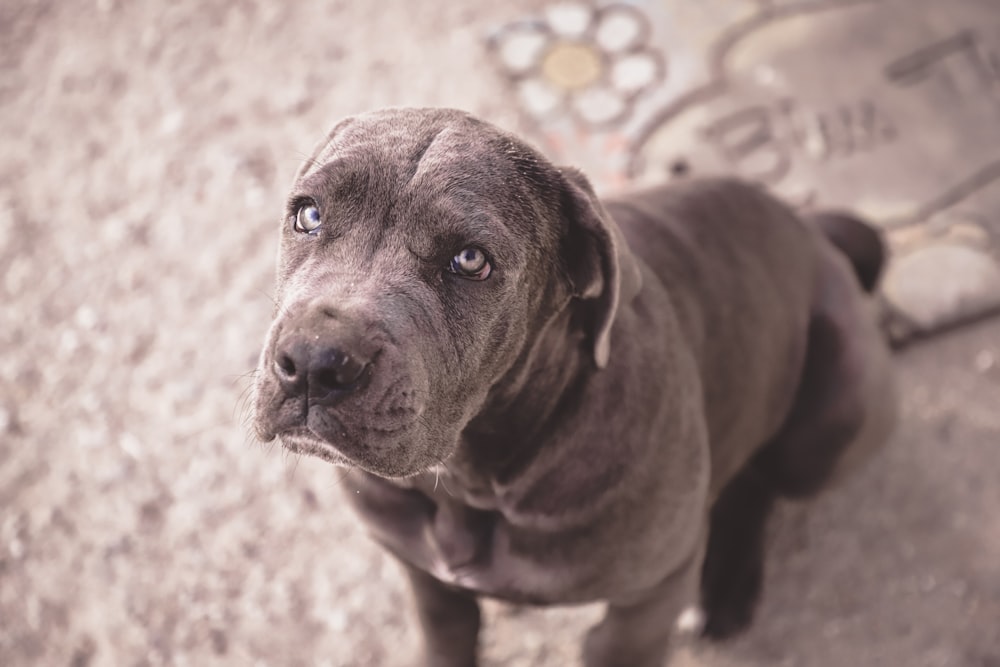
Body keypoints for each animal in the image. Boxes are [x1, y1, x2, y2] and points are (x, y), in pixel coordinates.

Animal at [252, 107, 900, 664]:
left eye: (470, 260)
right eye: (309, 214)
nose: (312, 361)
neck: (475, 479)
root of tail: (810, 229)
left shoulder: (649, 599)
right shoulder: (421, 574)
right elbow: (446, 634)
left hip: (831, 421)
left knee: (758, 480)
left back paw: (727, 587)